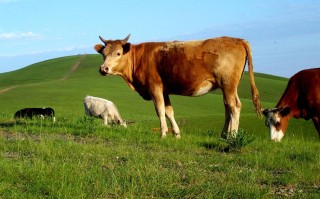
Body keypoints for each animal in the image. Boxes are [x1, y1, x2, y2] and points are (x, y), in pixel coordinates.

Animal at [94, 34, 262, 138]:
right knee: (228, 107)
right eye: (103, 54)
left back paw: (232, 136)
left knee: (234, 106)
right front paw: (176, 133)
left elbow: (160, 110)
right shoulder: (165, 90)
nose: (103, 69)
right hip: (226, 86)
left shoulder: (154, 87)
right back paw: (223, 135)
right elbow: (169, 111)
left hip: (228, 84)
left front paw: (163, 133)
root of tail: (238, 40)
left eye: (118, 53)